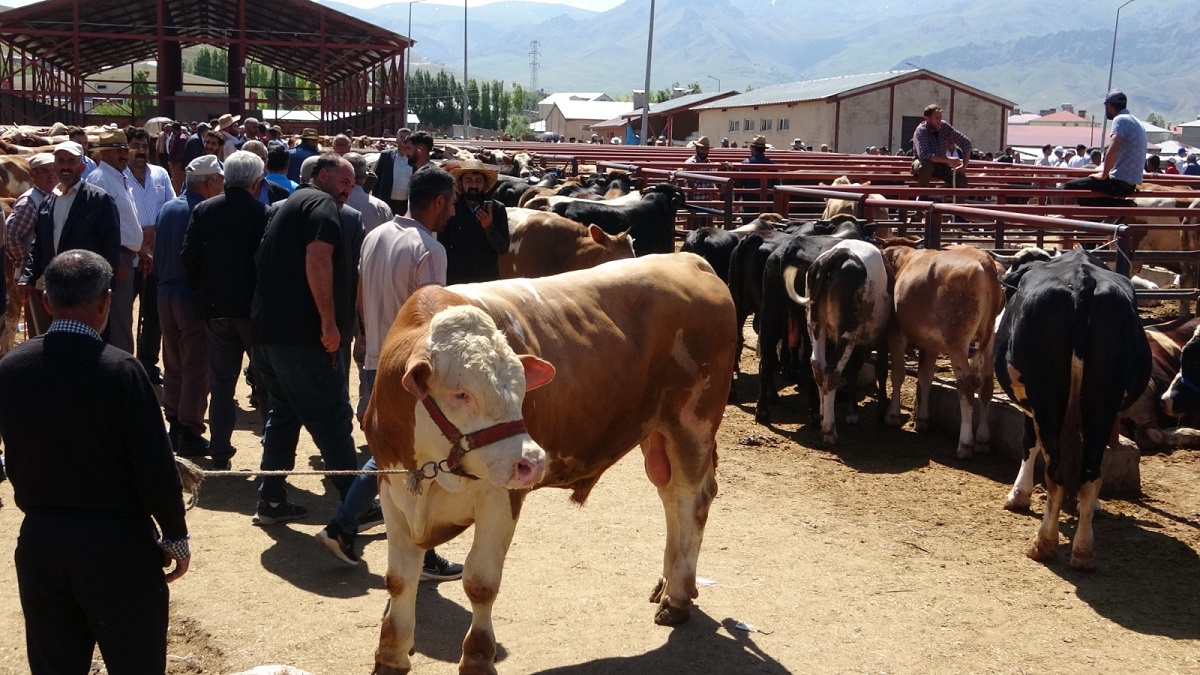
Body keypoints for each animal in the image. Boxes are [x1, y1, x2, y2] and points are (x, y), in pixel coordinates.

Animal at [364, 253, 734, 672]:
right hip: (659, 436)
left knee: (691, 502)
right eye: (460, 393)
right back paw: (668, 583)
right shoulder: (392, 487)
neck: (430, 472)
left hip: (692, 424)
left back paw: (678, 597)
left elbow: (481, 582)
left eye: (522, 387)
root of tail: (687, 259)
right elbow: (399, 579)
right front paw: (391, 655)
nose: (533, 460)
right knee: (671, 500)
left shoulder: (500, 498)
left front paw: (478, 658)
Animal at [878, 241, 1008, 456]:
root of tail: (985, 261)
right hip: (989, 340)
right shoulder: (931, 344)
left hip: (958, 341)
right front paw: (922, 419)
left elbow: (898, 374)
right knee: (986, 386)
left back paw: (965, 443)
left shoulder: (896, 333)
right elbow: (925, 376)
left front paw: (892, 415)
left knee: (966, 386)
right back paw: (983, 439)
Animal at [993, 247, 1152, 566]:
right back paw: (1083, 551)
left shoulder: (1030, 404)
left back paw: (1044, 543)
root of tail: (1082, 279)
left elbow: (1029, 443)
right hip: (1103, 404)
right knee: (1091, 471)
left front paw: (1019, 494)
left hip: (1046, 401)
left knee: (1055, 470)